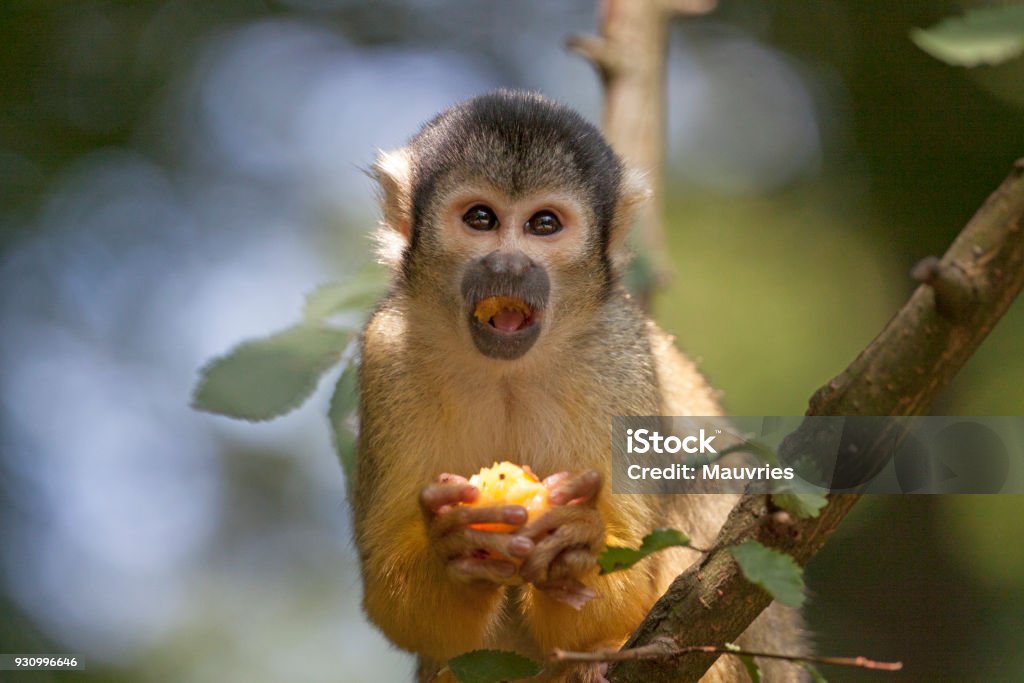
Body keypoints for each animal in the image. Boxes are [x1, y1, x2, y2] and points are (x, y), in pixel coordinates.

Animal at [356, 92, 802, 683]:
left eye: (544, 224)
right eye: (481, 219)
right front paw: (448, 547)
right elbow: (393, 600)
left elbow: (635, 578)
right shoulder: (387, 354)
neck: (508, 370)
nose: (509, 265)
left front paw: (576, 545)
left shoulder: (617, 355)